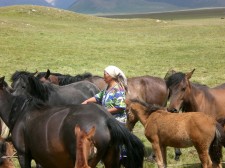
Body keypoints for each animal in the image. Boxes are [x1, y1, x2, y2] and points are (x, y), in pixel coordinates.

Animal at [0, 76, 144, 168]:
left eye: (24, 86)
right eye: (12, 86)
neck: (20, 111)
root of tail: (105, 119)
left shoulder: (23, 154)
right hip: (111, 159)